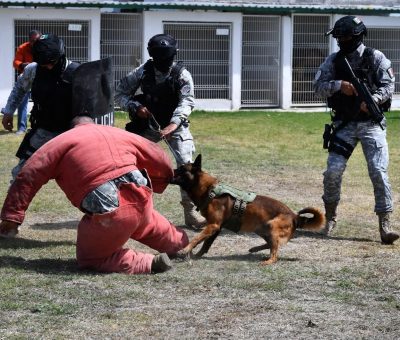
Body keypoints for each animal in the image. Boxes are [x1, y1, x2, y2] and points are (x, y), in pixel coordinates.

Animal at [171, 155, 324, 266]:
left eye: (181, 169)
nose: (171, 169)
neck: (209, 190)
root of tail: (294, 216)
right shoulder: (215, 228)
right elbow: (205, 244)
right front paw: (197, 255)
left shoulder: (213, 226)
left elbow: (197, 238)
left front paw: (185, 250)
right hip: (261, 229)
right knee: (270, 244)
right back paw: (254, 249)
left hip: (272, 226)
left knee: (275, 252)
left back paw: (267, 261)